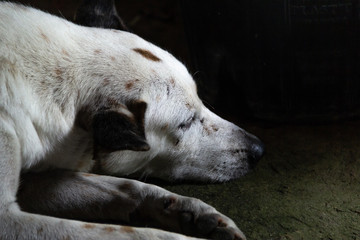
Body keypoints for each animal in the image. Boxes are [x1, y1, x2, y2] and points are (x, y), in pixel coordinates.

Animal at [0, 2, 264, 240]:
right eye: (185, 123)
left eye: (201, 99)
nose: (258, 150)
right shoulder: (9, 220)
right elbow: (136, 234)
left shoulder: (37, 180)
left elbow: (129, 187)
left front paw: (191, 211)